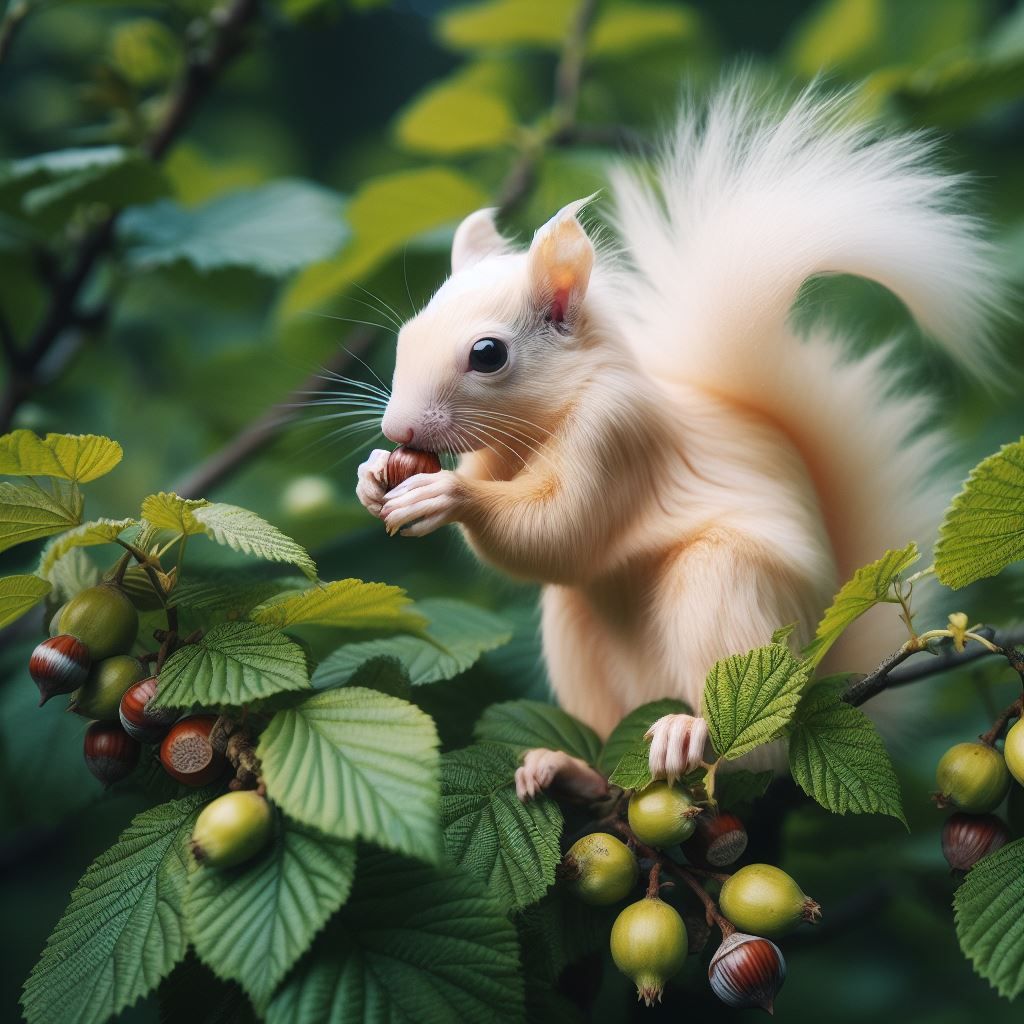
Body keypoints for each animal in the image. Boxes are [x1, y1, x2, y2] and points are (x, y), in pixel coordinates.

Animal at [355, 80, 1005, 798]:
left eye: (488, 354)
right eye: (408, 332)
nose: (397, 428)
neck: (542, 425)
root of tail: (821, 671)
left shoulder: (617, 437)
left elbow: (558, 531)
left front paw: (444, 496)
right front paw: (375, 475)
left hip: (726, 590)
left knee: (754, 746)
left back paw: (688, 732)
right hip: (580, 636)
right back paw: (569, 769)